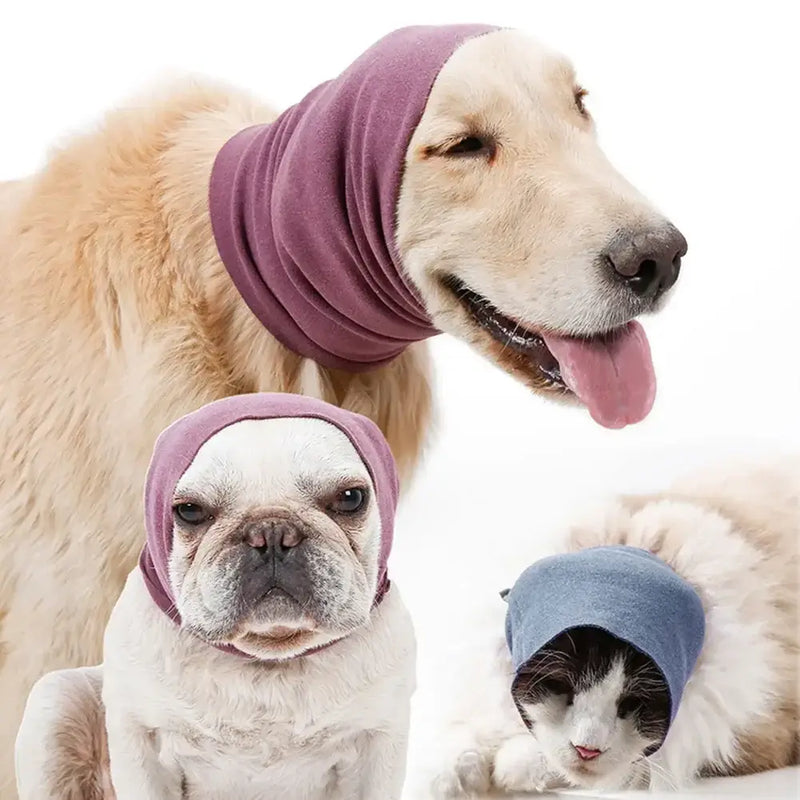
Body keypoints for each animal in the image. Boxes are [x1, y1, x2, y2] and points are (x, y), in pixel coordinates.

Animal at [422, 460, 796, 796]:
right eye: (561, 687)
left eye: (632, 704)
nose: (587, 749)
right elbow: (466, 735)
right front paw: (445, 778)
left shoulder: (747, 731)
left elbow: (582, 765)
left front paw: (507, 769)